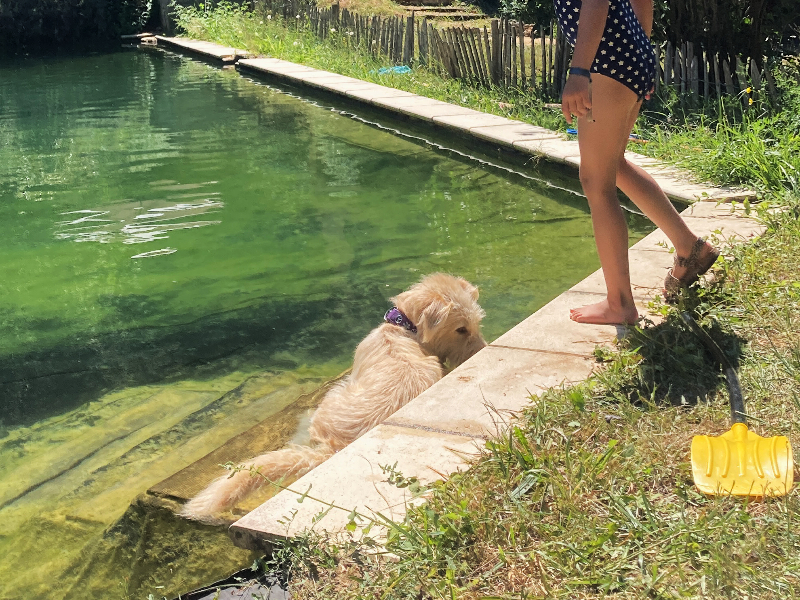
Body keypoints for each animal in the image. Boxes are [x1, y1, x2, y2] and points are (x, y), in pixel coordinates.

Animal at [181, 272, 484, 520]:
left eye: (472, 325)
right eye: (461, 329)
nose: (482, 350)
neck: (405, 329)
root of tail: (334, 449)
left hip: (330, 399)